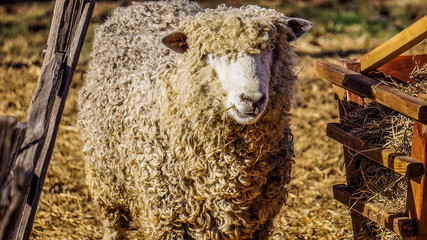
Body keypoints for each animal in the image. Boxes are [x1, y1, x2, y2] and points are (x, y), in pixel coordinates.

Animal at [77, 0, 310, 239]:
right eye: (213, 53)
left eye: (271, 49)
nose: (252, 99)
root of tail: (144, 5)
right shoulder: (167, 216)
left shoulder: (259, 221)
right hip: (105, 178)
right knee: (113, 222)